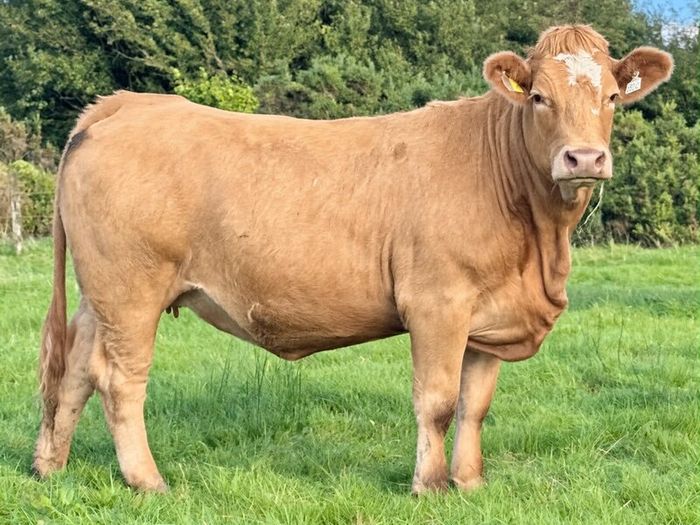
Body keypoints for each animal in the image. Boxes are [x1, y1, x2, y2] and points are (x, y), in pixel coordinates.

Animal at [33, 25, 672, 494]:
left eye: (612, 98)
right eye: (540, 98)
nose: (583, 158)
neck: (537, 243)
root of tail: (128, 105)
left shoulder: (492, 315)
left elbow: (476, 405)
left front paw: (470, 484)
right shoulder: (437, 302)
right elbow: (438, 401)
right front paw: (429, 486)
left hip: (100, 295)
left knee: (75, 370)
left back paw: (50, 468)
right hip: (131, 290)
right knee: (121, 381)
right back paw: (148, 482)